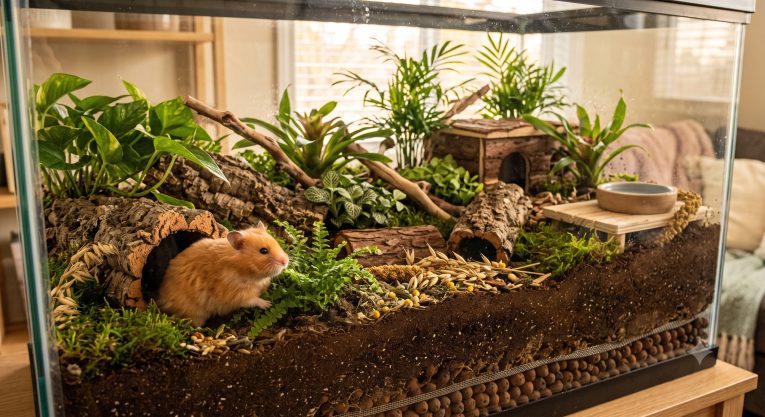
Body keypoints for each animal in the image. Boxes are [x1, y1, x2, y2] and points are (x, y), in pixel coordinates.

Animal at [157, 221, 289, 327]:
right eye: (263, 251)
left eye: (277, 243)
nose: (286, 262)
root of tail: (160, 297)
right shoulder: (237, 294)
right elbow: (252, 300)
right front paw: (268, 304)